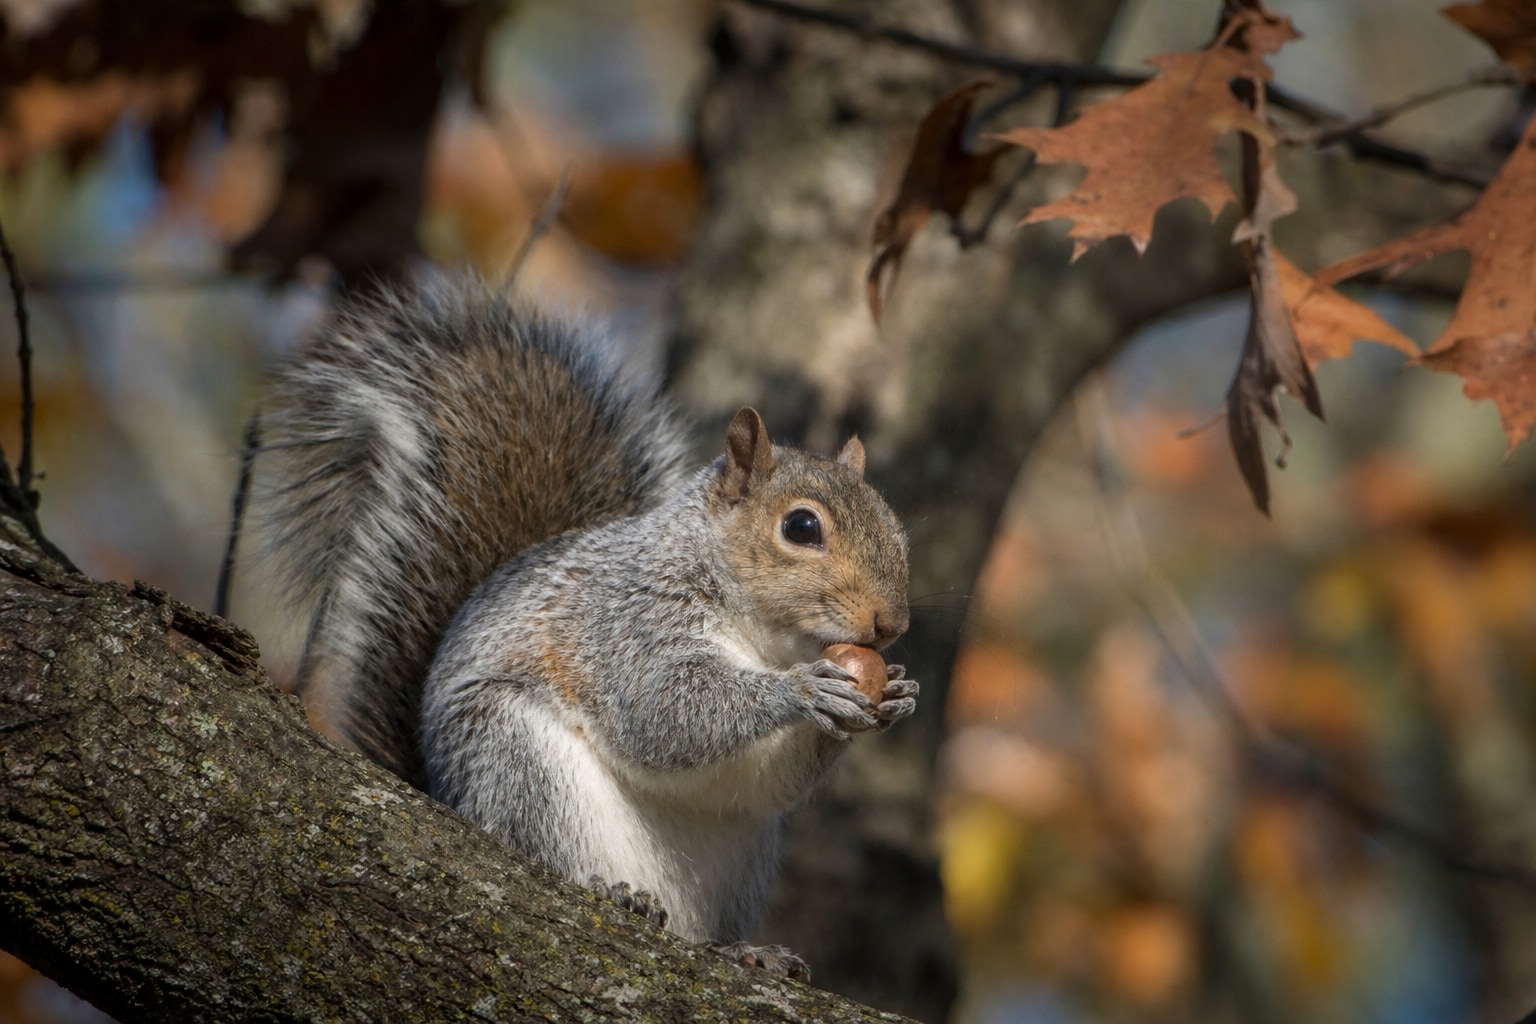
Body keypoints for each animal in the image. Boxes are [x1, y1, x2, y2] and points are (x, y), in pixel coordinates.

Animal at [252, 277, 918, 976]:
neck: (766, 638)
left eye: (895, 525)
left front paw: (894, 694)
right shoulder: (627, 621)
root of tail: (444, 797)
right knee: (544, 850)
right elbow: (665, 709)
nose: (891, 624)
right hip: (515, 763)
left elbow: (772, 780)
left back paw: (744, 952)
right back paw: (613, 892)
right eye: (801, 527)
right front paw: (803, 689)